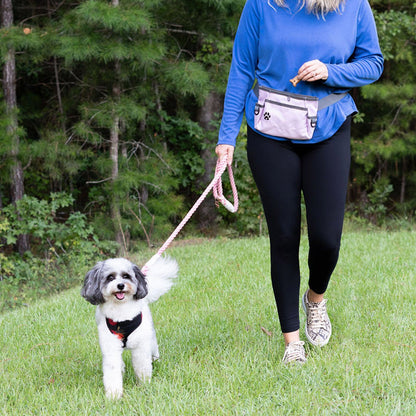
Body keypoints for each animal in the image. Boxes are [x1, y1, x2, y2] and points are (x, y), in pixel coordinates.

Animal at [81, 255, 177, 398]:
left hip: (150, 336)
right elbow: (112, 371)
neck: (121, 314)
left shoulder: (141, 345)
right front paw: (114, 395)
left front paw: (144, 384)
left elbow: (142, 365)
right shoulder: (110, 347)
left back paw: (156, 360)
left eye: (126, 276)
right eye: (110, 277)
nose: (120, 285)